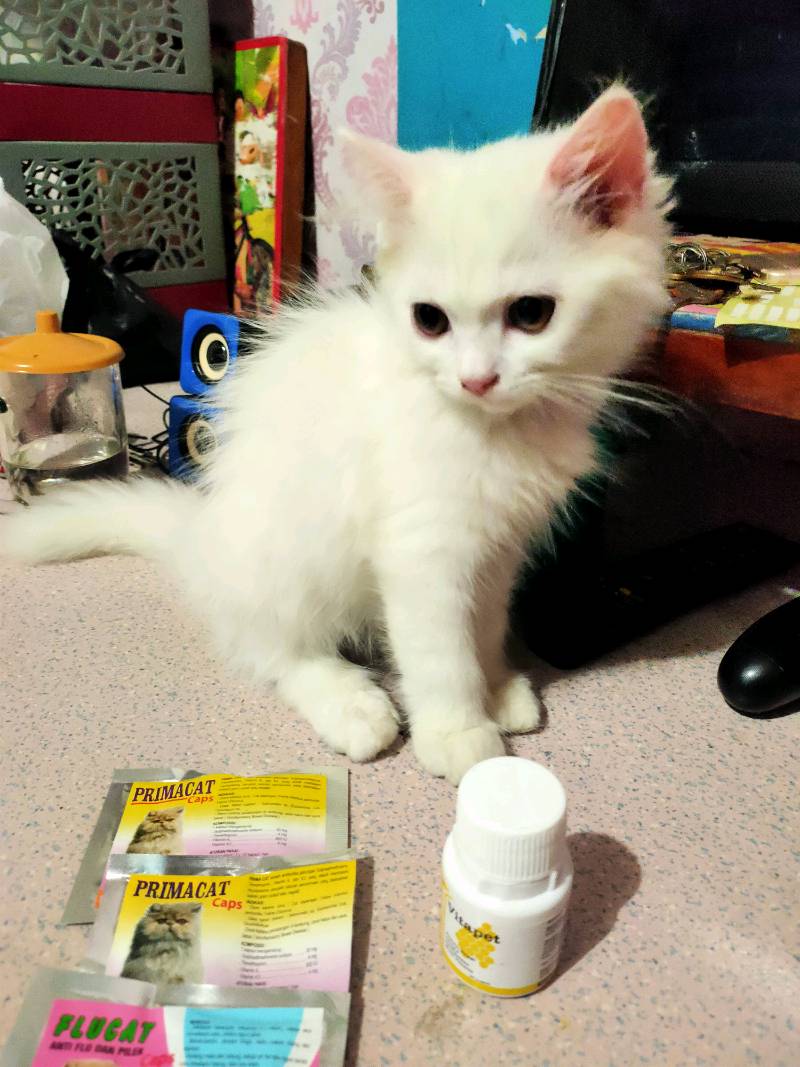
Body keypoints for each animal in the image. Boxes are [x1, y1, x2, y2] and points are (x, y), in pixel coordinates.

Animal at [1, 86, 670, 784]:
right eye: (429, 320)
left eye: (532, 314)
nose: (476, 379)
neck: (494, 431)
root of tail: (201, 539)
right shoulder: (421, 547)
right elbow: (441, 653)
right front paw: (459, 732)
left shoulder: (498, 545)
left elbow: (484, 625)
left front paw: (496, 685)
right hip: (285, 562)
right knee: (273, 652)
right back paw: (352, 705)